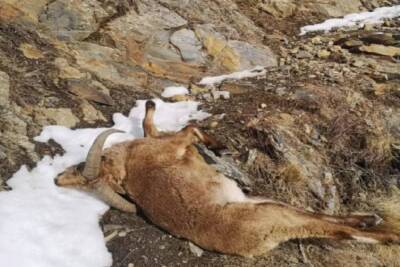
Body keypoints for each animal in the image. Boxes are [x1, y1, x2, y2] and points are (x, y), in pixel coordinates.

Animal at [56, 100, 400, 258]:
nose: (60, 178)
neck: (131, 162)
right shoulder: (173, 144)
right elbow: (189, 128)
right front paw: (218, 144)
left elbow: (156, 127)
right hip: (273, 212)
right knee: (333, 229)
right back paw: (386, 233)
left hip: (264, 201)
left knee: (318, 216)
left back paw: (368, 217)